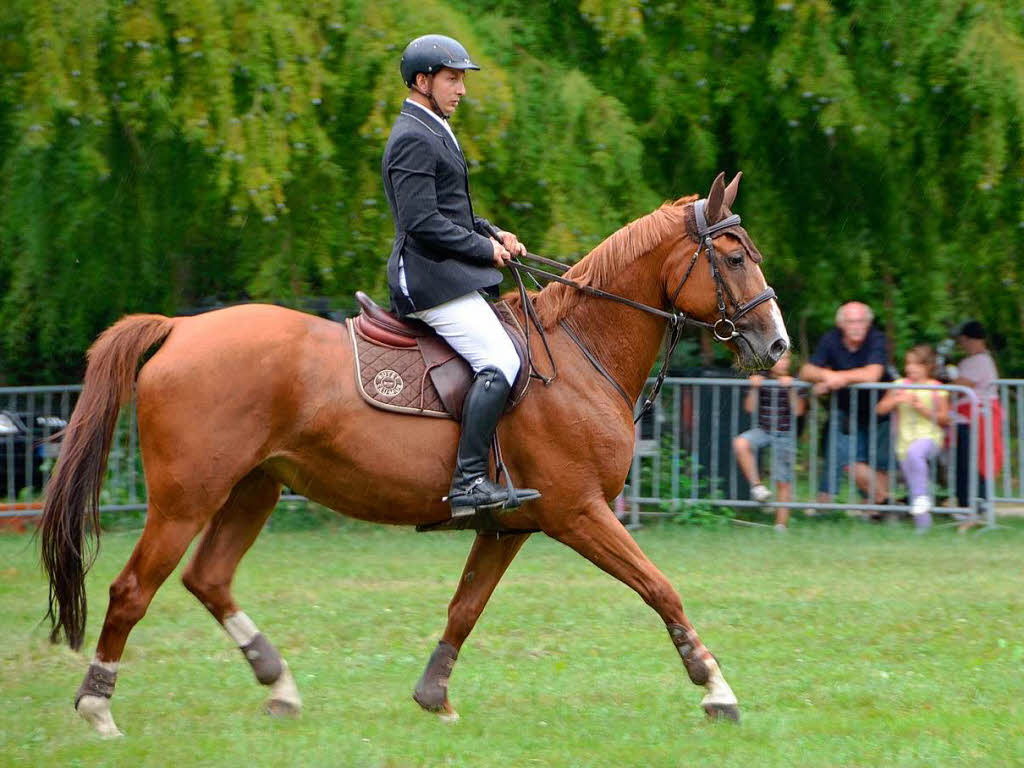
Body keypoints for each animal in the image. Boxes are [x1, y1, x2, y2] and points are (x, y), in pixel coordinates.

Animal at [39, 171, 790, 737]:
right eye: (732, 257)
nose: (777, 345)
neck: (580, 353)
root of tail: (179, 329)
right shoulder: (579, 514)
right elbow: (661, 588)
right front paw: (716, 690)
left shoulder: (511, 526)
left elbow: (465, 607)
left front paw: (434, 696)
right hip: (185, 500)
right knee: (134, 590)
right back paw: (97, 707)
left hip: (255, 488)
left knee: (209, 579)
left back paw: (278, 685)